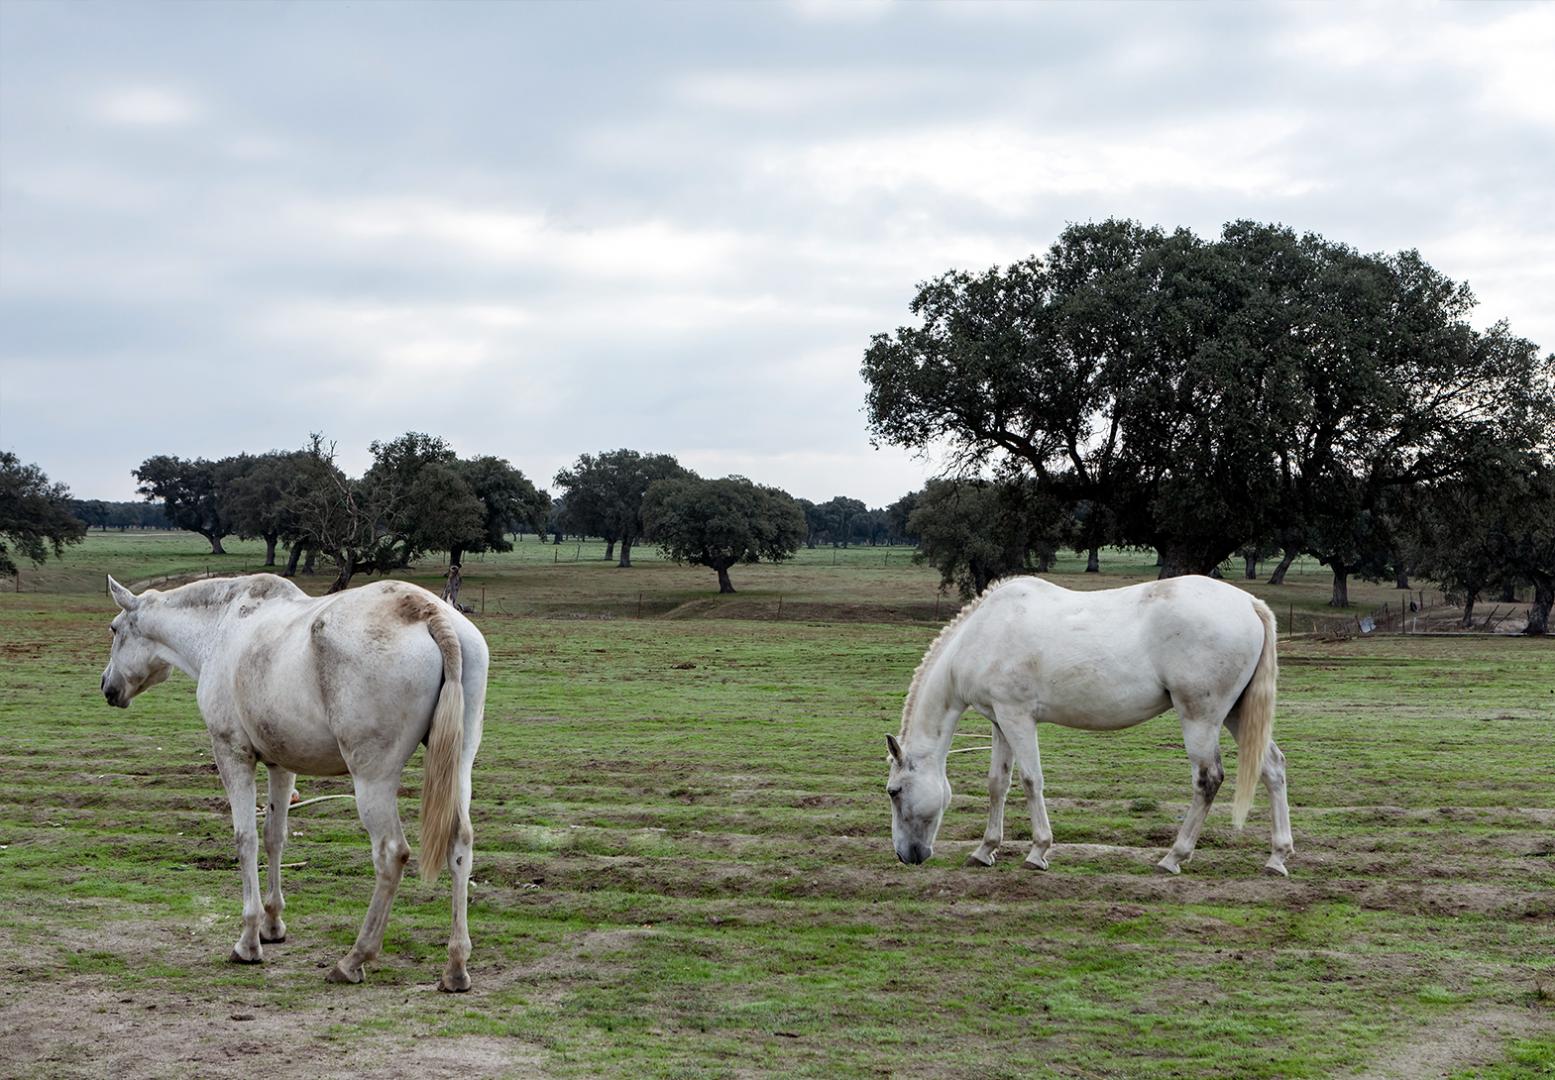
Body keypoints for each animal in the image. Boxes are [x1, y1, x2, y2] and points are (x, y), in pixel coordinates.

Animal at [101, 578, 485, 994]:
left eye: (114, 629)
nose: (107, 686)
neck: (220, 627)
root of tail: (426, 611)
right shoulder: (280, 766)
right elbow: (274, 836)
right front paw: (272, 925)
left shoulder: (232, 754)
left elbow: (246, 839)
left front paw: (249, 940)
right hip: (459, 765)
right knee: (459, 845)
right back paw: (456, 966)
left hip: (373, 779)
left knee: (391, 854)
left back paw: (354, 959)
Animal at [889, 578, 1287, 876]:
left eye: (893, 791)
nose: (907, 855)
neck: (984, 633)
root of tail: (1249, 603)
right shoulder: (1000, 721)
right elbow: (997, 784)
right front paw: (985, 850)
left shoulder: (1017, 717)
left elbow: (1030, 781)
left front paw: (1038, 852)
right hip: (1236, 714)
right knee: (1272, 768)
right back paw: (1277, 857)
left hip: (1201, 717)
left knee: (1208, 779)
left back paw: (1173, 857)